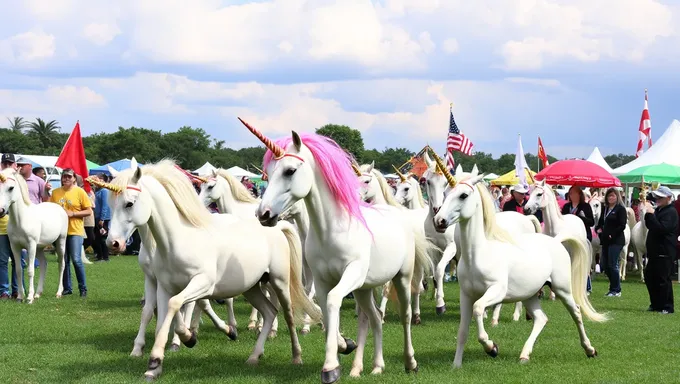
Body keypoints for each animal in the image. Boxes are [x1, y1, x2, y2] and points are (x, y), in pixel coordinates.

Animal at [0, 170, 67, 302]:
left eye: (11, 188)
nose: (1, 210)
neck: (20, 219)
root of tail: (59, 208)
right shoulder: (15, 246)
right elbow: (18, 270)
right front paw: (20, 297)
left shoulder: (31, 245)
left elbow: (30, 271)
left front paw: (29, 298)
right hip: (40, 248)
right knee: (44, 264)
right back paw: (38, 293)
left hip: (60, 243)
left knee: (62, 264)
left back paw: (58, 292)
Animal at [104, 160, 322, 380]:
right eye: (111, 204)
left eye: (129, 203)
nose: (113, 243)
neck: (177, 241)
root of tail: (277, 227)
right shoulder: (163, 287)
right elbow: (164, 316)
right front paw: (155, 365)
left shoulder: (202, 283)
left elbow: (177, 306)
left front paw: (181, 342)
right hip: (251, 288)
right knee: (269, 312)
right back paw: (254, 356)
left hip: (279, 281)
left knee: (287, 313)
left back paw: (296, 355)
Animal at [239, 119, 430, 380]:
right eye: (268, 172)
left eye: (290, 171)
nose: (263, 214)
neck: (332, 230)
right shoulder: (322, 280)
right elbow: (325, 311)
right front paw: (344, 345)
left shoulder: (350, 274)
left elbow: (331, 303)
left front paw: (330, 366)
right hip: (364, 288)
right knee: (374, 318)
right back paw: (376, 365)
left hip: (401, 277)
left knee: (405, 315)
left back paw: (410, 362)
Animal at [430, 170, 604, 368]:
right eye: (446, 194)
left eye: (463, 195)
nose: (439, 221)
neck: (478, 254)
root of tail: (556, 241)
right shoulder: (466, 295)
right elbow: (462, 331)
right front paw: (456, 365)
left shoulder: (496, 291)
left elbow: (479, 309)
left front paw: (492, 347)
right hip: (529, 294)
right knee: (541, 318)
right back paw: (524, 355)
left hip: (563, 289)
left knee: (576, 312)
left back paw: (590, 350)